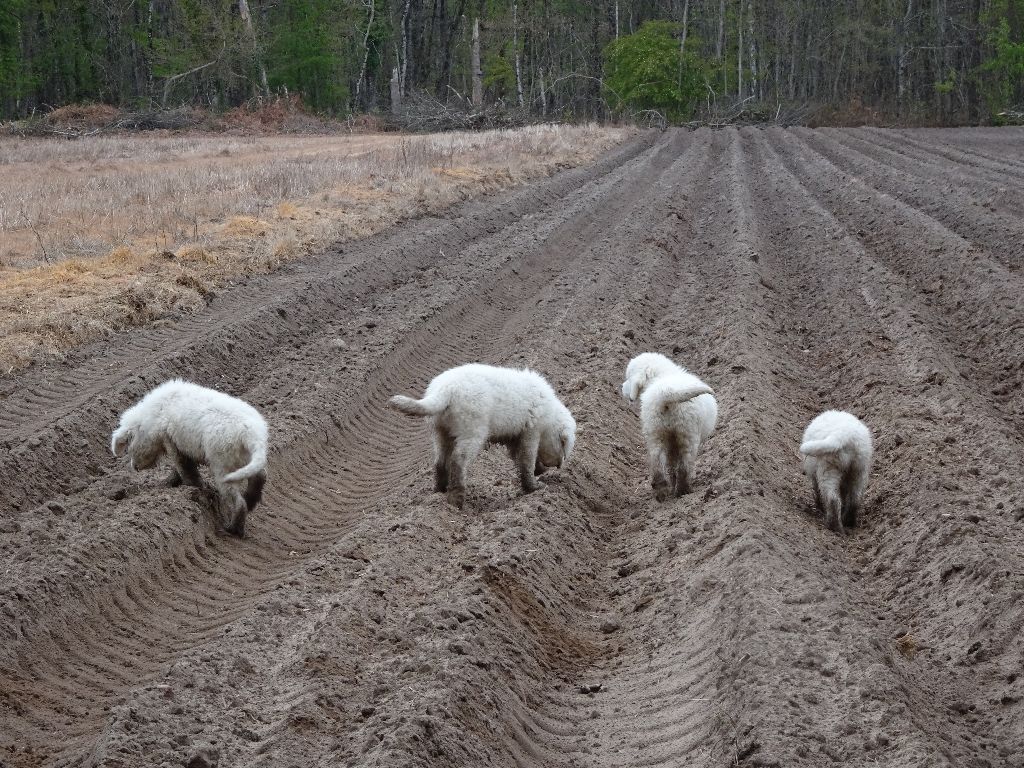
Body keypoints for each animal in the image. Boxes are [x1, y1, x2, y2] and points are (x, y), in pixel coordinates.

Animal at [112, 376, 268, 536]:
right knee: (260, 477)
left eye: (129, 448)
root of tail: (252, 433)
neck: (153, 415)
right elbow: (180, 468)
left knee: (238, 501)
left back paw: (233, 529)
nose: (134, 467)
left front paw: (192, 486)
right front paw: (171, 482)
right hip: (246, 460)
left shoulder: (171, 441)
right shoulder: (181, 445)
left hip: (223, 465)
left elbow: (183, 467)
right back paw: (250, 502)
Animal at [387, 364, 577, 507]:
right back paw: (456, 499)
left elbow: (520, 458)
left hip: (441, 431)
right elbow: (526, 461)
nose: (558, 465)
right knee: (458, 460)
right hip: (472, 430)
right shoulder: (531, 432)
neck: (549, 413)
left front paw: (539, 471)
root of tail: (446, 390)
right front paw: (534, 486)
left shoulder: (514, 436)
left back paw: (440, 490)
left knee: (440, 461)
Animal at [618, 354, 716, 501]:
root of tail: (667, 394)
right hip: (688, 433)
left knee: (657, 461)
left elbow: (670, 464)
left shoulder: (670, 442)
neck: (662, 375)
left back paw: (661, 490)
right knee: (684, 466)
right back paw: (683, 491)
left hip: (655, 430)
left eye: (628, 378)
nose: (622, 387)